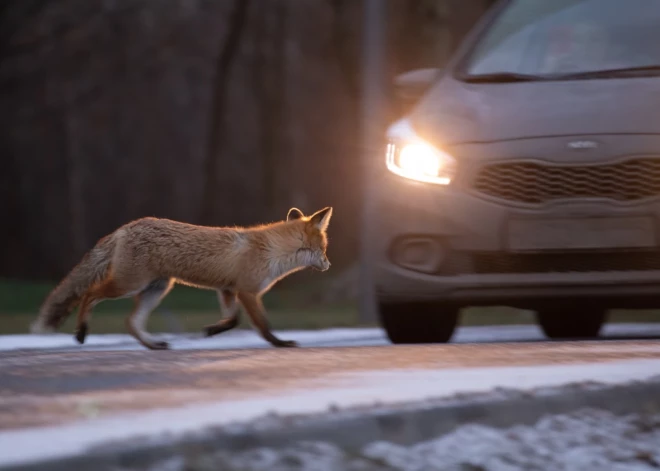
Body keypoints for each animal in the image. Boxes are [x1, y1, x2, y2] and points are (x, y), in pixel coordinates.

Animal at [29, 206, 336, 350]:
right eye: (323, 249)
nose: (329, 264)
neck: (271, 250)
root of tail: (126, 227)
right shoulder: (247, 291)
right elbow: (263, 325)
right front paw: (280, 343)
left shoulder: (227, 289)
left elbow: (232, 320)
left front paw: (211, 331)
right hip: (129, 285)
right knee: (89, 294)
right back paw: (81, 332)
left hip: (156, 289)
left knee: (131, 322)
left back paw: (153, 345)